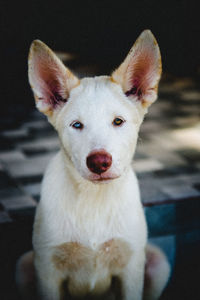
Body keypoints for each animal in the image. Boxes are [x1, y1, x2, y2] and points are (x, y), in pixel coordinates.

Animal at [15, 29, 170, 298]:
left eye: (118, 121)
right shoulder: (47, 271)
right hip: (23, 267)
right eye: (77, 125)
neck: (94, 198)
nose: (99, 162)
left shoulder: (131, 268)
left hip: (159, 263)